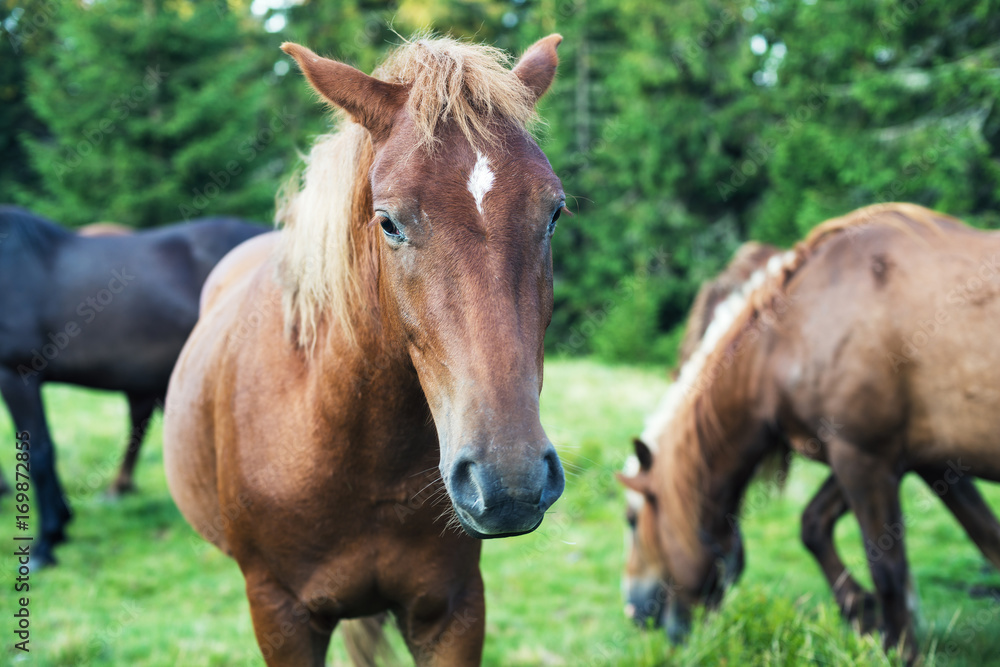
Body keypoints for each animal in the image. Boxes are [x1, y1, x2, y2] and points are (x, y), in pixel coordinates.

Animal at [620, 205, 1000, 664]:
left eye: (632, 520)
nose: (633, 611)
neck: (791, 334)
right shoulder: (915, 460)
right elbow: (815, 525)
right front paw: (863, 612)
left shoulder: (862, 458)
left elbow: (888, 568)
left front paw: (898, 647)